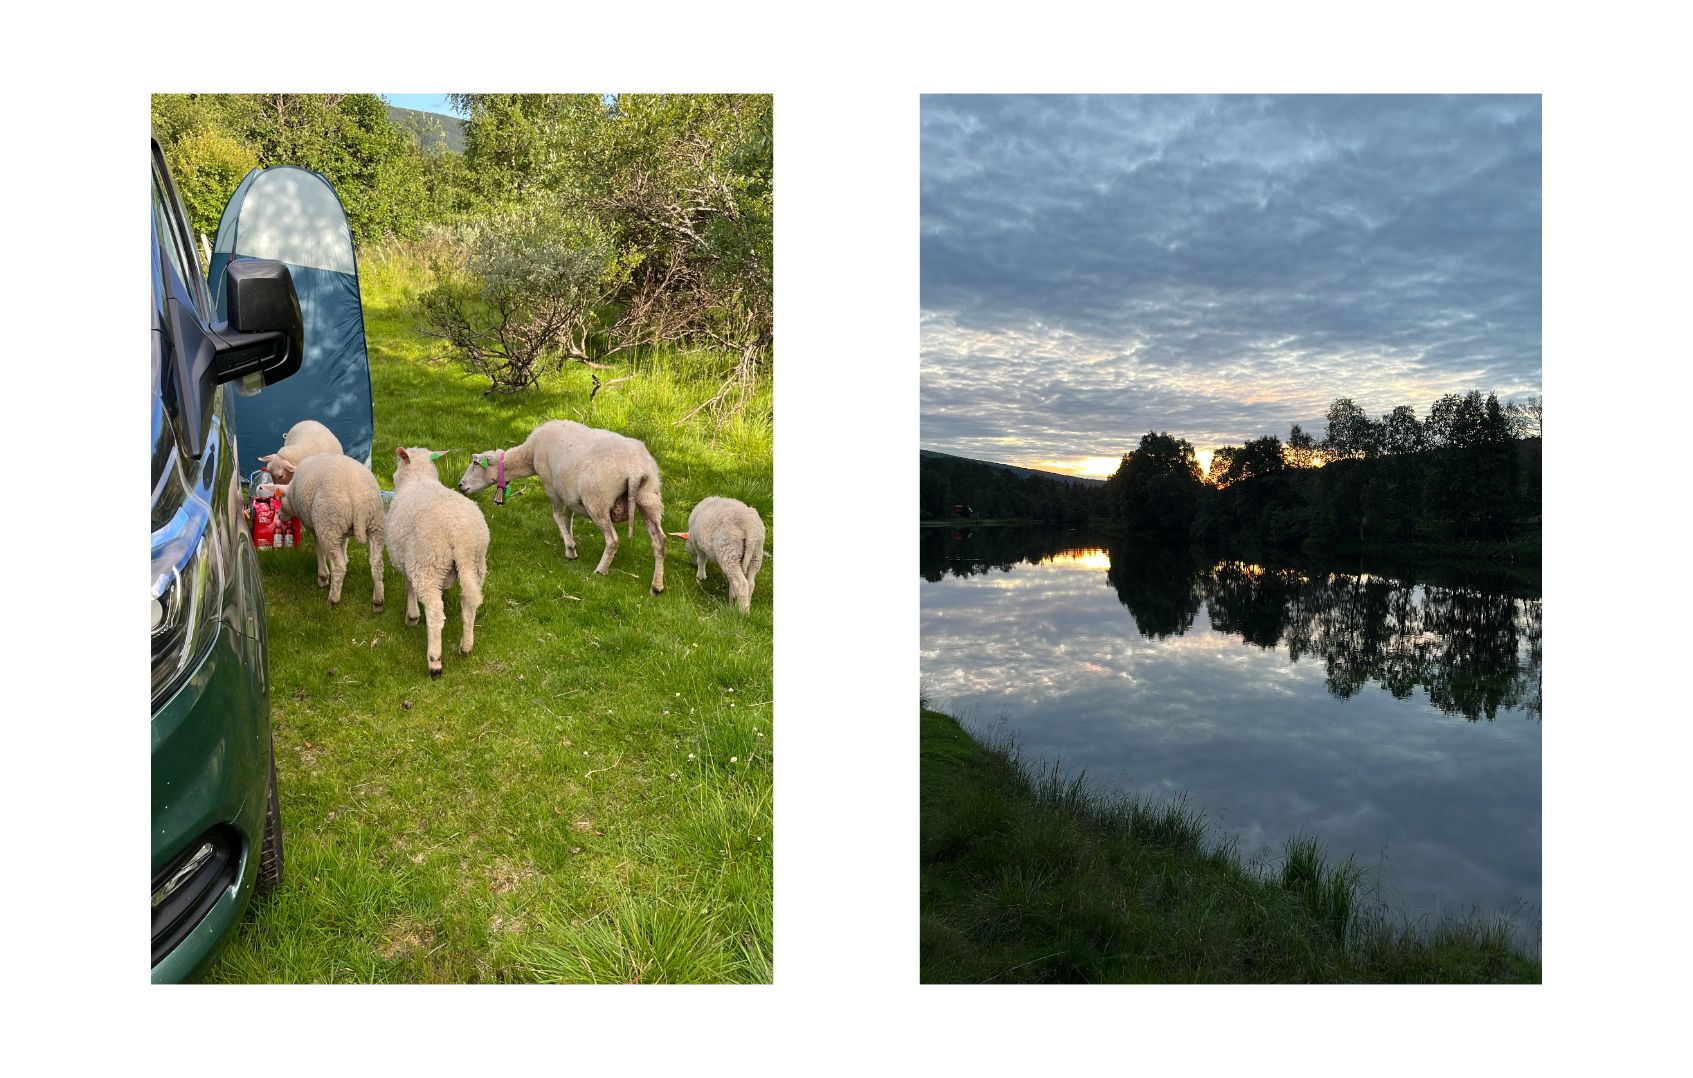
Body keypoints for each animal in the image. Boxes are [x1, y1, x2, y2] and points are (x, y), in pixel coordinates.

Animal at [252, 450, 386, 609]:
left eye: (281, 500)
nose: (279, 516)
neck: (291, 492)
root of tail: (359, 499)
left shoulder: (315, 526)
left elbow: (318, 549)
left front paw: (323, 577)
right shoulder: (341, 531)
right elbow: (343, 547)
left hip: (328, 522)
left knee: (338, 565)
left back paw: (333, 599)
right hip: (374, 524)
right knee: (377, 563)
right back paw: (378, 601)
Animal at [386, 446, 490, 673]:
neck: (419, 479)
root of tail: (459, 534)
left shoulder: (408, 561)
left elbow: (408, 587)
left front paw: (412, 617)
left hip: (427, 562)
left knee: (435, 613)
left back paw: (434, 662)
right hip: (475, 564)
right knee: (468, 605)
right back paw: (466, 647)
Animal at [463, 416, 673, 592]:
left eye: (475, 464)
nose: (460, 485)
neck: (529, 454)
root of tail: (636, 468)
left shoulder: (550, 484)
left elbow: (556, 515)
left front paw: (570, 548)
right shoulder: (568, 491)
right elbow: (569, 515)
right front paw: (569, 539)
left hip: (597, 500)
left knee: (613, 540)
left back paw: (601, 570)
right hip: (650, 498)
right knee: (659, 541)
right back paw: (657, 585)